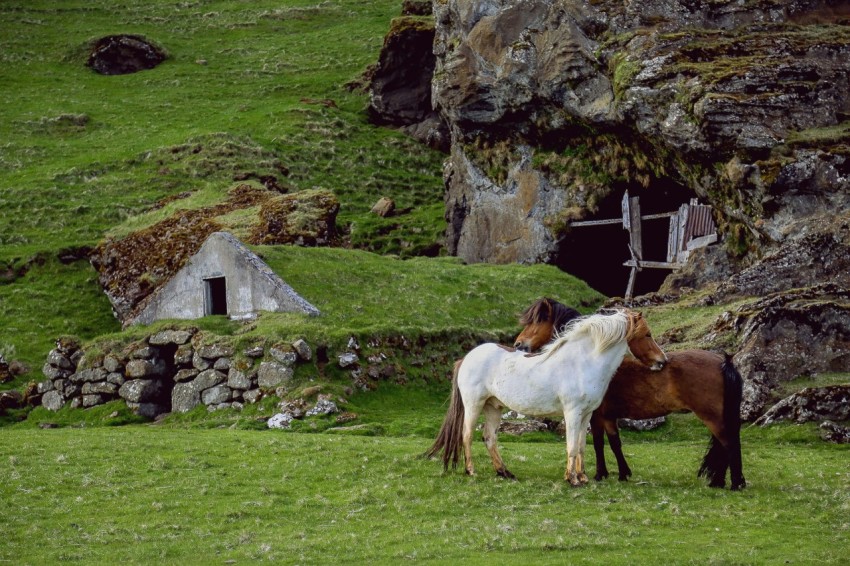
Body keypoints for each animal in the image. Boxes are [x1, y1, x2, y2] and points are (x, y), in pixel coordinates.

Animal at [426, 309, 667, 486]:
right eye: (647, 334)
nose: (662, 361)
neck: (583, 363)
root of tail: (466, 358)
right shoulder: (572, 413)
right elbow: (571, 446)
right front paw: (572, 480)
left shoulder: (586, 415)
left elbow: (581, 445)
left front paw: (582, 477)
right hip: (473, 405)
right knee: (467, 435)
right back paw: (471, 471)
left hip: (494, 407)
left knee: (489, 437)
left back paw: (505, 472)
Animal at [515, 298, 746, 490]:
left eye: (536, 322)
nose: (518, 344)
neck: (591, 359)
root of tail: (723, 361)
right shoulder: (606, 416)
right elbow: (614, 443)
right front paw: (622, 473)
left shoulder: (597, 416)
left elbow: (599, 443)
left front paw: (601, 474)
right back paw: (719, 482)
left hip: (712, 417)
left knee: (729, 444)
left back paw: (735, 483)